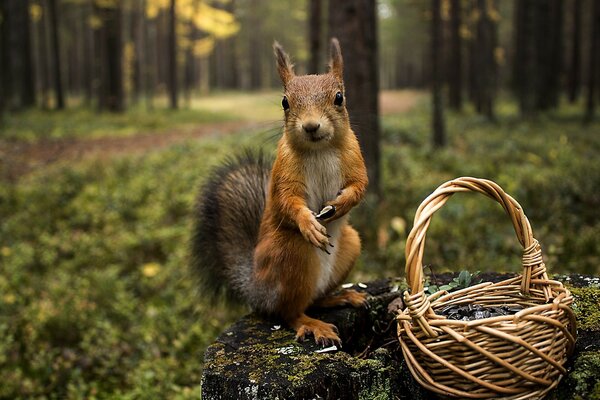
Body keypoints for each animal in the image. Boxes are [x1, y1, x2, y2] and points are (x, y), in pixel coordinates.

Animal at [195, 38, 368, 346]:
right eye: (285, 102)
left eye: (339, 97)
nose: (311, 126)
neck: (319, 149)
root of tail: (257, 290)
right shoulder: (284, 173)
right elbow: (287, 201)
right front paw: (308, 224)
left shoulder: (355, 158)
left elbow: (359, 186)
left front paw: (341, 204)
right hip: (290, 253)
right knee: (289, 312)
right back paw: (312, 324)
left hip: (350, 244)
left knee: (314, 300)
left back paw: (340, 297)